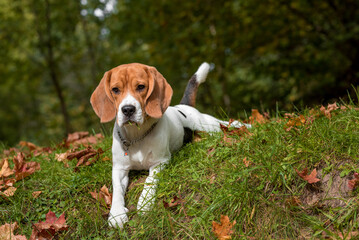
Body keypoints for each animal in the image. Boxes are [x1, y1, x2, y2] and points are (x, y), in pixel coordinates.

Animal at [90, 62, 248, 227]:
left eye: (141, 87)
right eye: (115, 89)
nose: (127, 109)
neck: (137, 136)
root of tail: (183, 106)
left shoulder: (160, 161)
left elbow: (150, 181)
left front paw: (145, 203)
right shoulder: (119, 168)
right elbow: (117, 190)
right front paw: (116, 213)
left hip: (209, 126)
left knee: (229, 124)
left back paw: (247, 125)